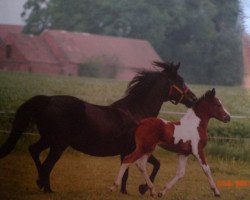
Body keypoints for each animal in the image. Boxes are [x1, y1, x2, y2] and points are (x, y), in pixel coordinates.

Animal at [0, 61, 197, 194]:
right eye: (180, 81)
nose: (194, 99)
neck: (137, 112)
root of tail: (48, 100)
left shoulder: (125, 151)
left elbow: (126, 171)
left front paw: (124, 191)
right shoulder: (139, 148)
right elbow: (157, 165)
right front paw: (142, 188)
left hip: (48, 139)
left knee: (33, 150)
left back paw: (40, 182)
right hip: (58, 144)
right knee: (47, 164)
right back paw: (46, 188)